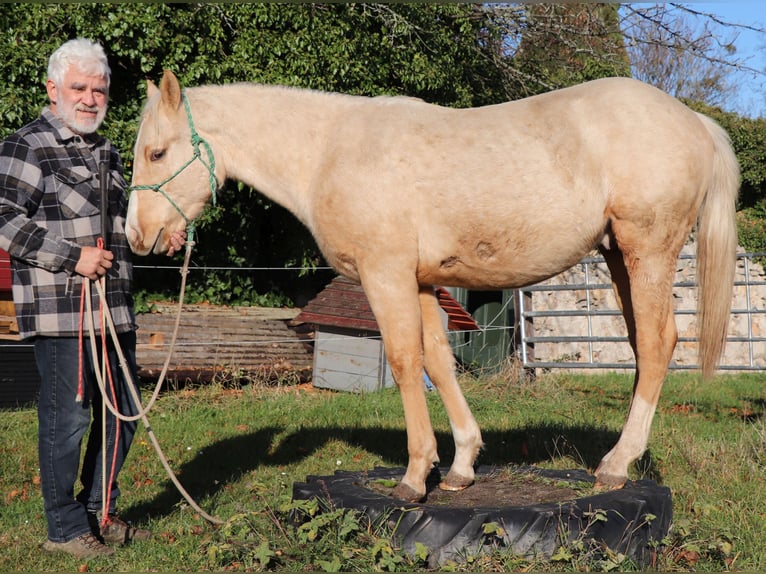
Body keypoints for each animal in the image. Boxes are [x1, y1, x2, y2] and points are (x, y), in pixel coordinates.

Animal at [126, 69, 739, 502]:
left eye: (157, 152)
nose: (136, 235)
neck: (329, 151)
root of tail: (693, 120)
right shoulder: (421, 283)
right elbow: (439, 363)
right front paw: (462, 464)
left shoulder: (386, 274)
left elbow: (404, 362)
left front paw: (414, 474)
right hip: (618, 258)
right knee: (640, 348)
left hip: (647, 253)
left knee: (658, 346)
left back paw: (615, 465)